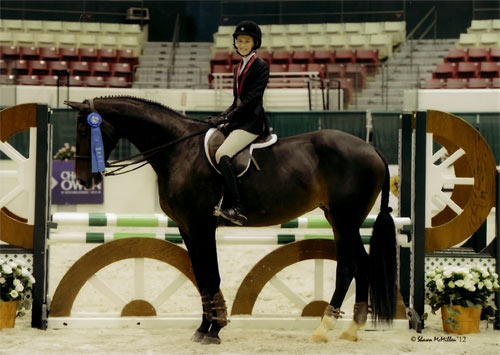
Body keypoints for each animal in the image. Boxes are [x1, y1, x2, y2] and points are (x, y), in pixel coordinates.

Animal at [65, 96, 398, 344]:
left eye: (84, 130)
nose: (83, 179)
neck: (178, 150)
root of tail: (372, 148)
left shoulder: (201, 225)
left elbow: (211, 275)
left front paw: (214, 329)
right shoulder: (187, 227)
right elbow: (201, 276)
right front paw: (205, 327)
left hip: (344, 220)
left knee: (349, 266)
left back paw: (324, 326)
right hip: (343, 221)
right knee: (362, 264)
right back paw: (352, 328)